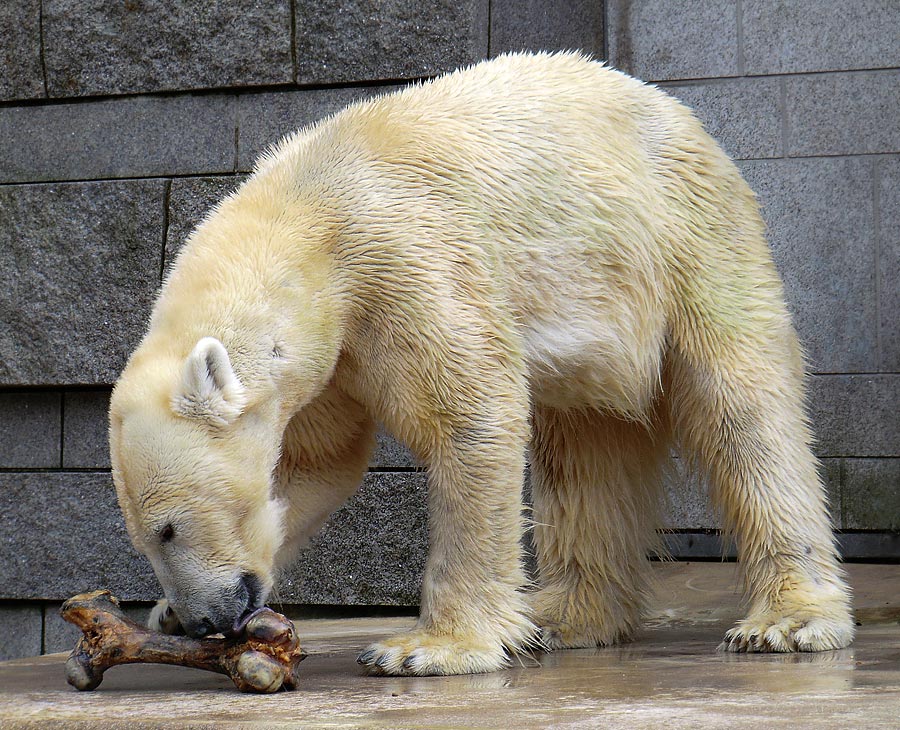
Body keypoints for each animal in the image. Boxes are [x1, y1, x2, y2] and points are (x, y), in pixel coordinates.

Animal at [109, 52, 856, 676]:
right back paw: (563, 617)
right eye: (144, 541)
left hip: (686, 242)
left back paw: (788, 619)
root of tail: (685, 118)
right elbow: (319, 464)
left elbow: (470, 413)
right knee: (585, 450)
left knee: (740, 407)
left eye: (170, 526)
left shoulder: (405, 260)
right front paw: (166, 609)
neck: (308, 213)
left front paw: (428, 648)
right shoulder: (333, 349)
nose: (206, 618)